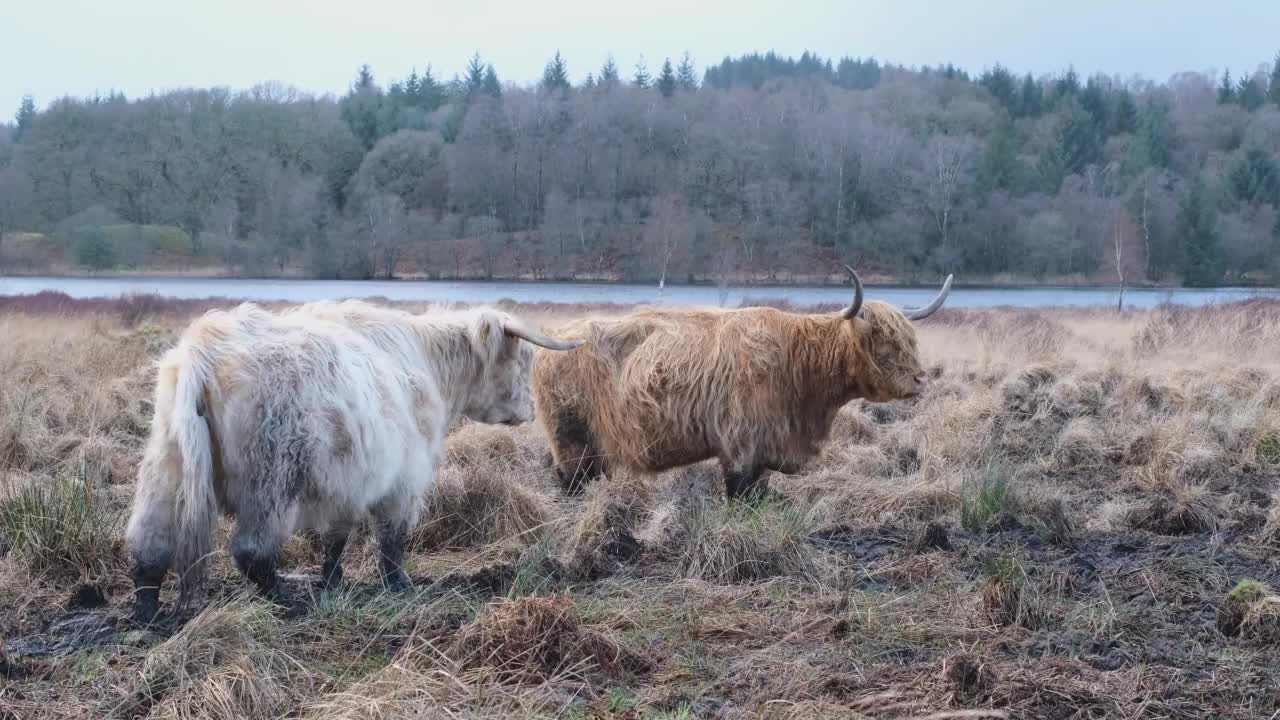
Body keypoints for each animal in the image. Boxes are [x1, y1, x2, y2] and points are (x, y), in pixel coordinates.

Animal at [529, 266, 952, 497]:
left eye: (911, 340)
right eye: (883, 346)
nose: (920, 379)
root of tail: (553, 340)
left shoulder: (765, 448)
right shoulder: (739, 444)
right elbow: (740, 493)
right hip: (569, 439)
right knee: (570, 481)